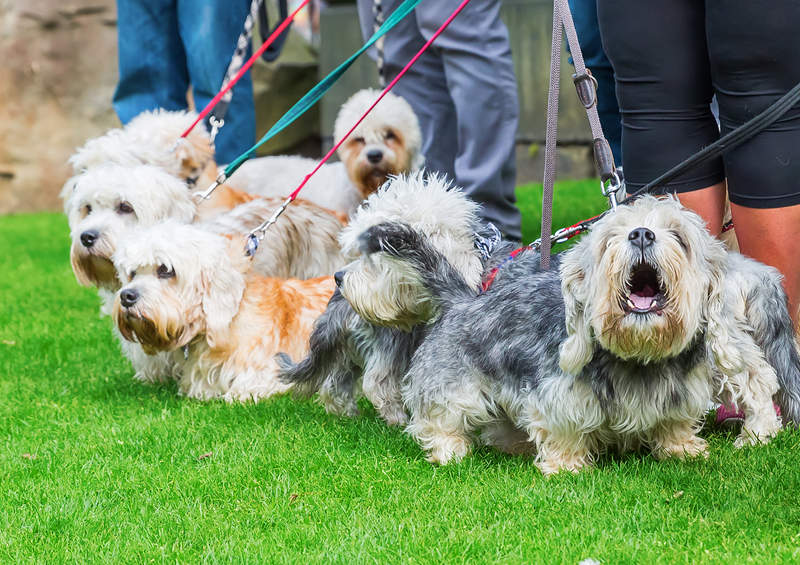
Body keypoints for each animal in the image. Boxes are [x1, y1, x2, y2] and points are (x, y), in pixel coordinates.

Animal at [278, 174, 510, 426]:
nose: (338, 277)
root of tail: (340, 300)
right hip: (392, 341)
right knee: (377, 383)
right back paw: (397, 420)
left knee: (336, 382)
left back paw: (346, 414)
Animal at [356, 196, 800, 474]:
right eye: (609, 238)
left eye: (678, 235)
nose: (641, 233)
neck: (638, 354)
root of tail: (463, 297)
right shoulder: (556, 397)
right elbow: (564, 431)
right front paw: (566, 466)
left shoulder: (682, 391)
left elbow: (673, 425)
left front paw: (682, 449)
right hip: (455, 387)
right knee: (438, 420)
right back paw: (451, 450)